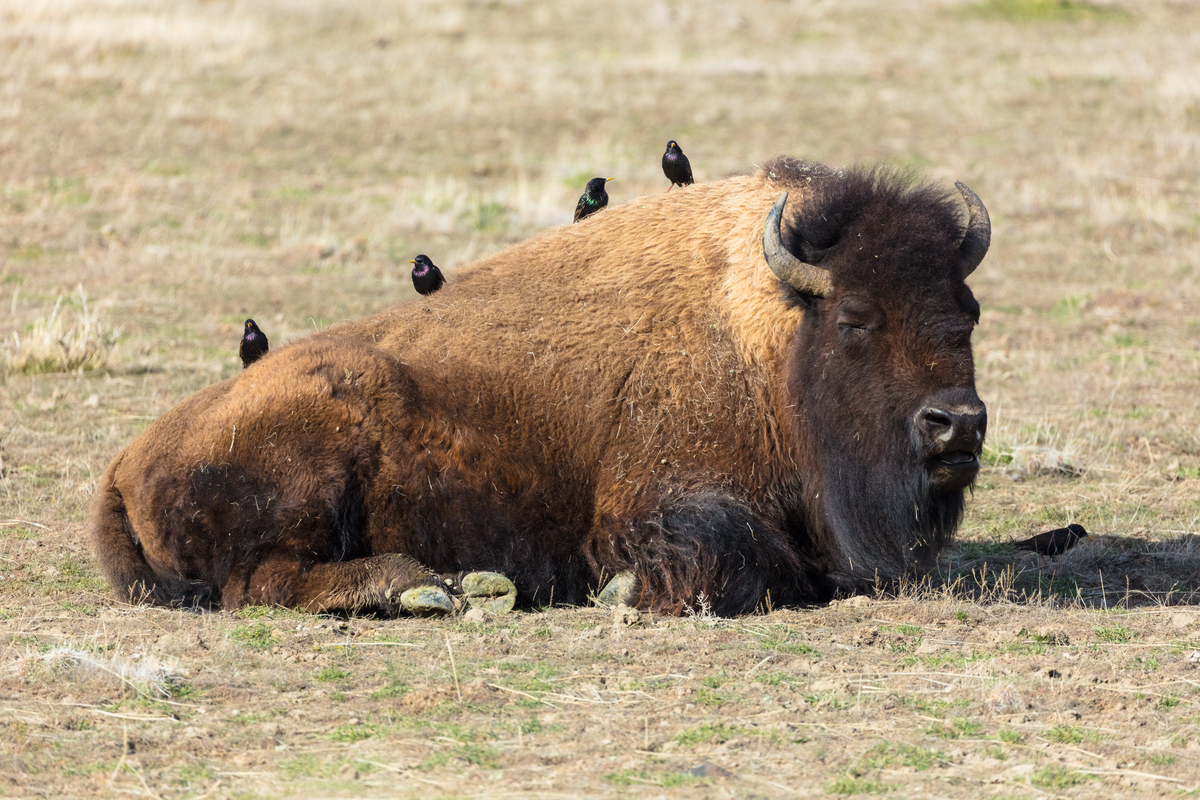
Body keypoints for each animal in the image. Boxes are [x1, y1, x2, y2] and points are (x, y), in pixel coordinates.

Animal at [90, 156, 989, 616]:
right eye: (856, 319)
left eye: (968, 310)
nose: (958, 423)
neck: (767, 332)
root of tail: (123, 466)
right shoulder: (655, 505)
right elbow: (749, 563)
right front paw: (622, 589)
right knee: (265, 583)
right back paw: (430, 588)